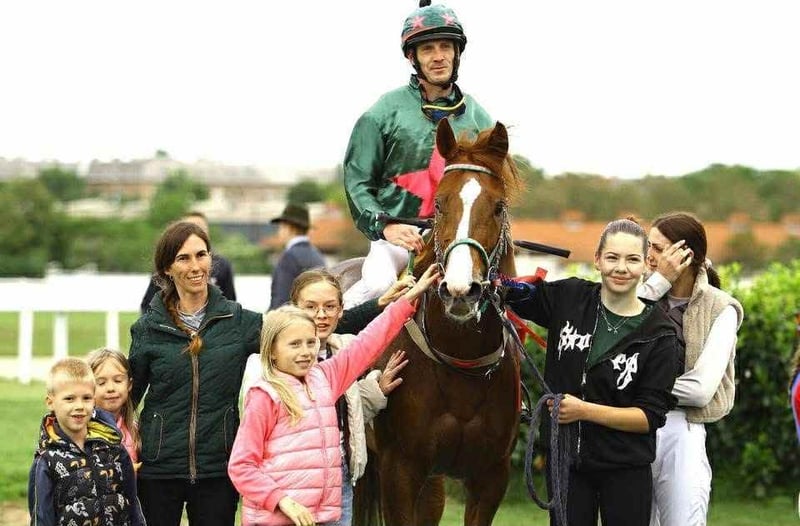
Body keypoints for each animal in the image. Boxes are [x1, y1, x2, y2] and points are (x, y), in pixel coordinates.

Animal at [349, 119, 524, 526]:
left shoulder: (492, 475)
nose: (461, 290)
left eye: (499, 207)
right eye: (440, 204)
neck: (459, 359)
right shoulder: (400, 467)